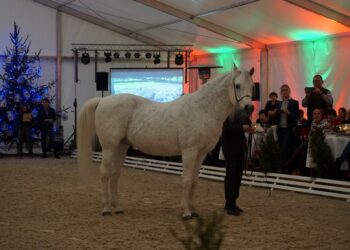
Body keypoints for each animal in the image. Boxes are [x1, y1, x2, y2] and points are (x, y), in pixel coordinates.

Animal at [77, 66, 254, 219]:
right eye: (237, 85)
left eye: (252, 86)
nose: (249, 108)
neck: (202, 110)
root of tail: (102, 101)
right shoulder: (189, 151)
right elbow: (186, 179)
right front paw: (186, 212)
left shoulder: (201, 154)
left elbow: (194, 180)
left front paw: (194, 210)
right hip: (109, 147)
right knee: (105, 173)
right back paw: (106, 208)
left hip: (121, 146)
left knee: (115, 175)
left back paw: (117, 208)